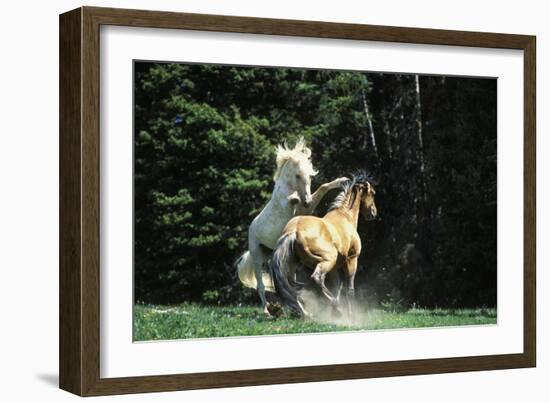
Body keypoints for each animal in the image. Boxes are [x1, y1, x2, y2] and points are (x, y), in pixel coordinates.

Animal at [236, 137, 348, 318]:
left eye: (310, 176)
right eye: (297, 175)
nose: (307, 201)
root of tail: (252, 227)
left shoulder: (307, 209)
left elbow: (322, 188)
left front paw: (341, 181)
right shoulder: (288, 203)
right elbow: (291, 200)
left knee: (288, 283)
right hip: (257, 257)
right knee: (261, 286)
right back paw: (267, 311)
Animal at [270, 174, 380, 318]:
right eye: (372, 193)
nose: (373, 213)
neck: (345, 217)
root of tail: (294, 231)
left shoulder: (335, 268)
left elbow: (337, 287)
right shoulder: (352, 259)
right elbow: (349, 289)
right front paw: (350, 314)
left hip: (294, 266)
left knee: (293, 289)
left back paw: (307, 313)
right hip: (328, 260)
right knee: (317, 278)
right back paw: (336, 307)